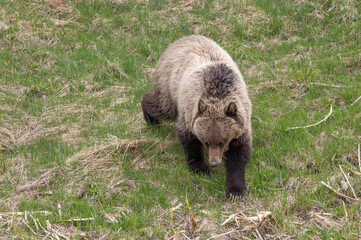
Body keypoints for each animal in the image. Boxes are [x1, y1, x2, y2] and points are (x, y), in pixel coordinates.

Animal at [141, 34, 250, 200]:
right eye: (206, 141)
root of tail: (181, 39)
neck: (217, 95)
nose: (214, 163)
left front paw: (235, 190)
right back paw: (151, 117)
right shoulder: (189, 111)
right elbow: (190, 142)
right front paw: (202, 169)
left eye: (222, 141)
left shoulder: (241, 122)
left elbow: (238, 155)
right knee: (162, 106)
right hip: (169, 86)